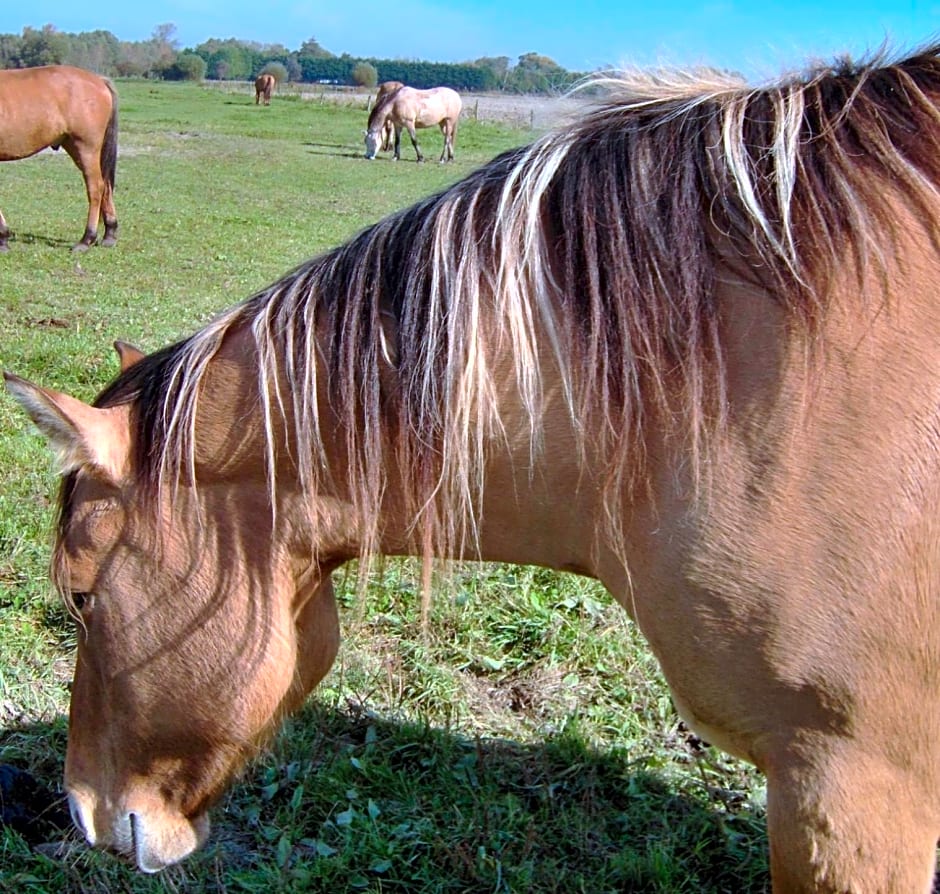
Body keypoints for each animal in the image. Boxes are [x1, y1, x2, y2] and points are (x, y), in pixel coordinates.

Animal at [0, 65, 118, 252]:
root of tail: (99, 80)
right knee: (106, 186)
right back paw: (110, 234)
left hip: (86, 149)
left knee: (96, 188)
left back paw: (87, 239)